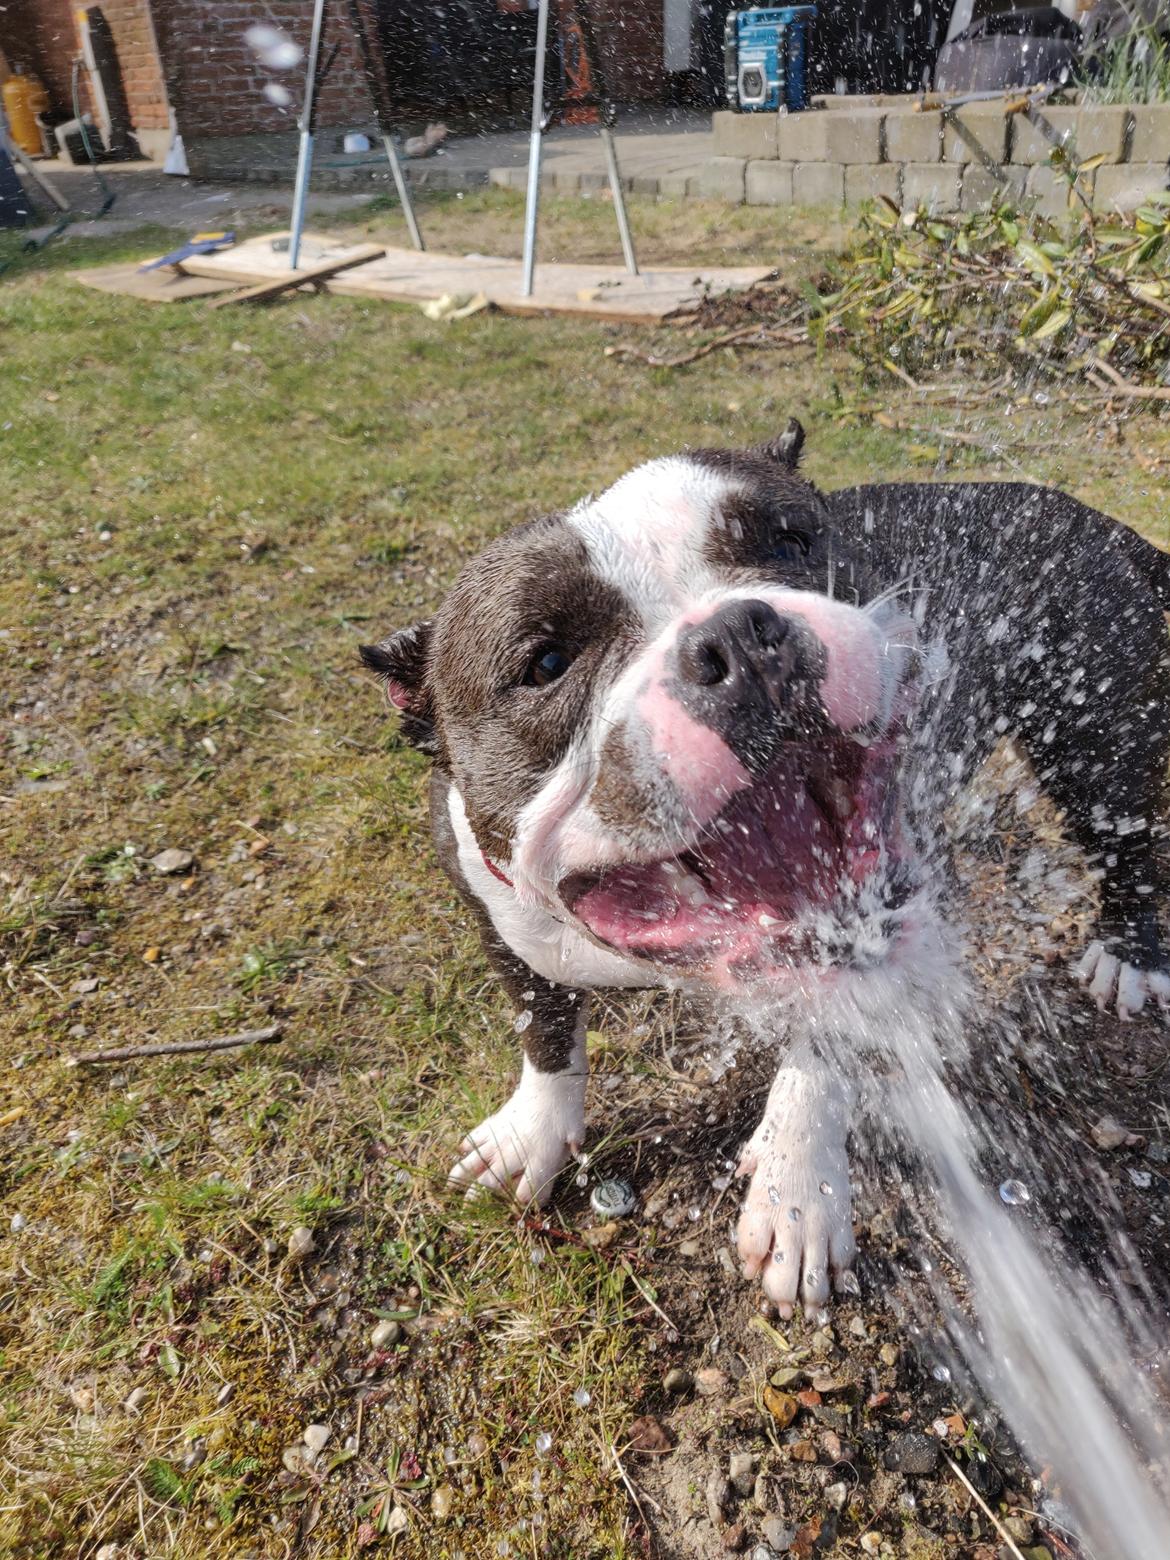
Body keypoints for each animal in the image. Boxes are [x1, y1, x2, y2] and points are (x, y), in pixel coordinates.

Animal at [361, 427, 1166, 1316]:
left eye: (790, 540)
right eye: (546, 663)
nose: (739, 636)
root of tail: (1089, 515)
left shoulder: (865, 909)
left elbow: (824, 1048)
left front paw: (798, 1188)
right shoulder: (494, 918)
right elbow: (545, 1029)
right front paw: (531, 1131)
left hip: (1097, 743)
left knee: (1130, 844)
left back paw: (1129, 957)